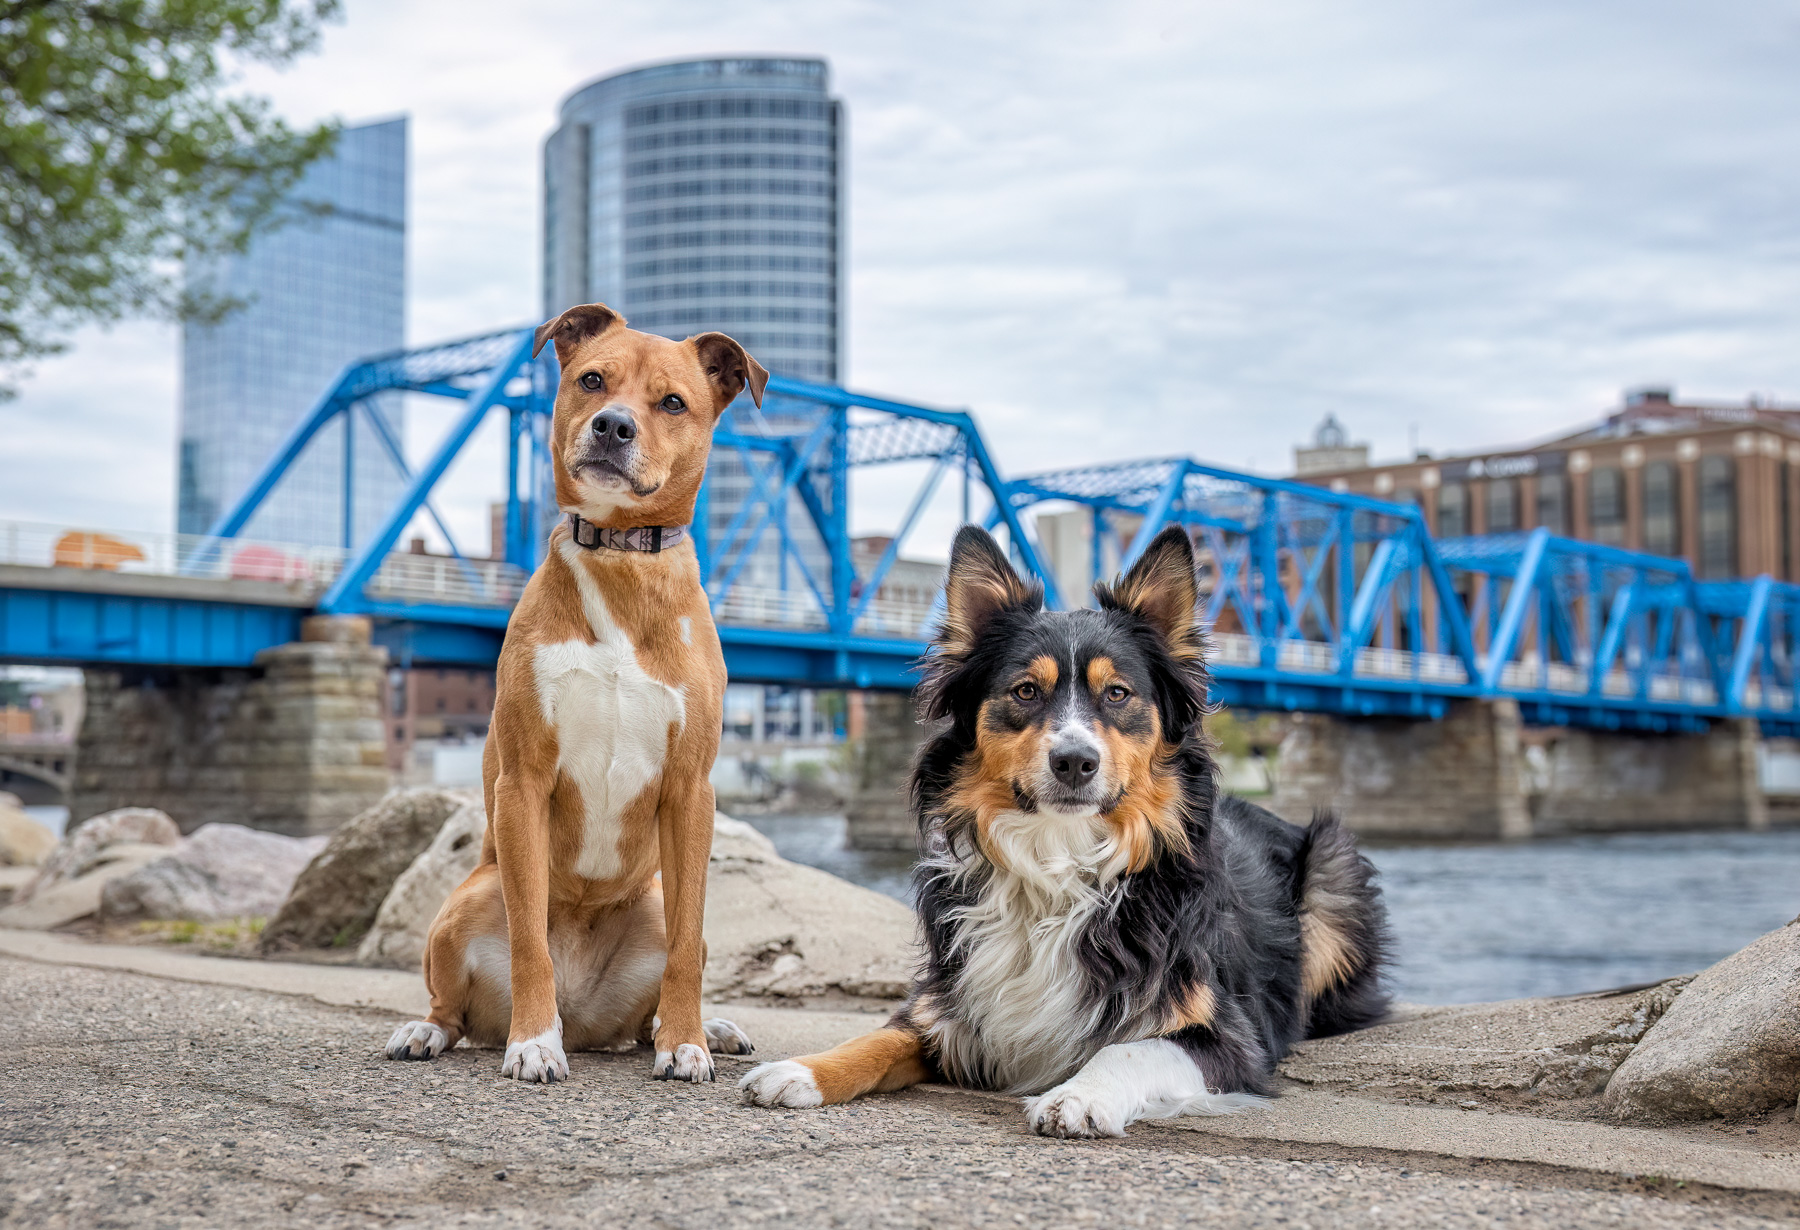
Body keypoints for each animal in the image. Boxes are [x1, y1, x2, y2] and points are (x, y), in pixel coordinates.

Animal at [387, 306, 766, 1087]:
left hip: (653, 904)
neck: (619, 557)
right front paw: (534, 1042)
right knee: (452, 1008)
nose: (613, 425)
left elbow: (686, 942)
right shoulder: (523, 782)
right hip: (469, 900)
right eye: (592, 380)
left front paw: (688, 1043)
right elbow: (530, 940)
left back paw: (700, 1028)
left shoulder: (692, 791)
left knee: (669, 970)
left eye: (672, 402)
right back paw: (429, 1031)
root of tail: (590, 1019)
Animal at [738, 525, 1382, 1138]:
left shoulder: (1227, 1036)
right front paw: (803, 1069)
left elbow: (1129, 1049)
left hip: (1333, 867)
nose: (1075, 761)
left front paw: (1079, 1096)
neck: (1056, 859)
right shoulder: (950, 1004)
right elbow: (878, 1037)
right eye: (1026, 691)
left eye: (1117, 693)